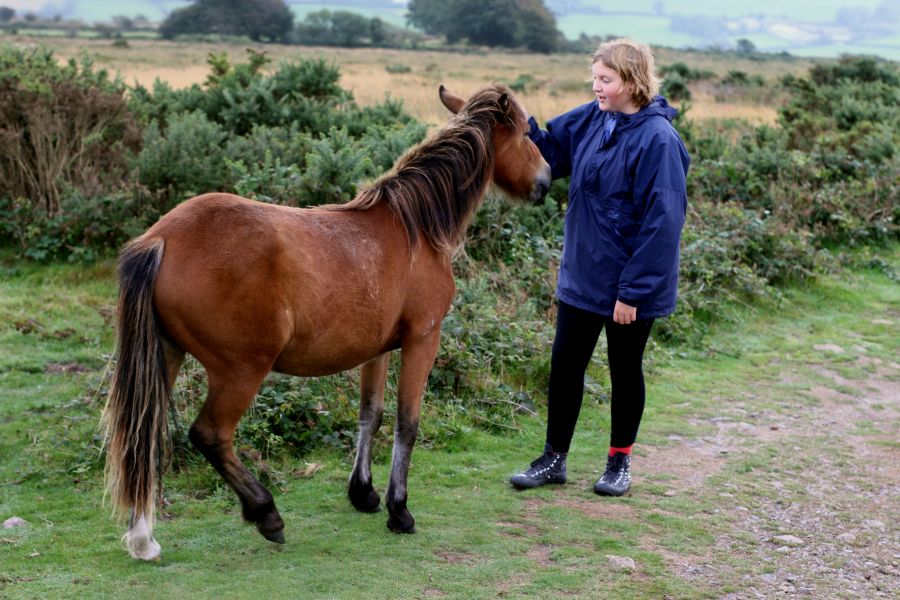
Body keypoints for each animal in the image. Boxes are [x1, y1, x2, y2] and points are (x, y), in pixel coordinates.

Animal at [98, 83, 548, 556]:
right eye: (525, 132)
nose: (545, 179)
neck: (415, 227)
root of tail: (160, 239)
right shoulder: (423, 339)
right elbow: (407, 423)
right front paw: (399, 509)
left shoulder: (377, 350)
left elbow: (371, 414)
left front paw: (363, 493)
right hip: (240, 370)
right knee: (211, 435)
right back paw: (265, 512)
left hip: (165, 355)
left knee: (142, 436)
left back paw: (143, 537)